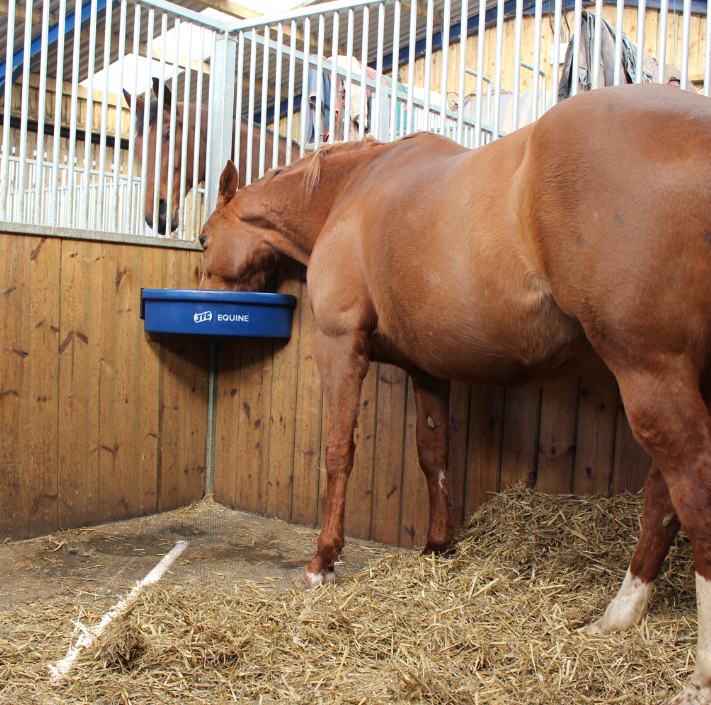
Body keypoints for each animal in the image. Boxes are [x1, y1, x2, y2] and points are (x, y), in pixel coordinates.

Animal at [198, 82, 711, 704]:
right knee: (664, 497)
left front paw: (323, 561)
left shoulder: (339, 345)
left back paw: (701, 674)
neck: (353, 192)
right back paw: (618, 616)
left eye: (203, 239)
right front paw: (437, 546)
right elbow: (433, 454)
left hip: (648, 369)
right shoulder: (428, 369)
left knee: (694, 488)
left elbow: (338, 452)